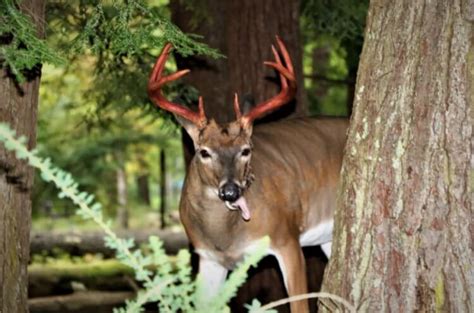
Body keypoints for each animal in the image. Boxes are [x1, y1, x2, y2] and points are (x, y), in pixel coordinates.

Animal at [148, 37, 348, 310]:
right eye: (203, 152)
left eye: (246, 150)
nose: (231, 191)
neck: (227, 238)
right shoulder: (209, 258)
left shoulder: (287, 237)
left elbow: (299, 305)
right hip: (328, 238)